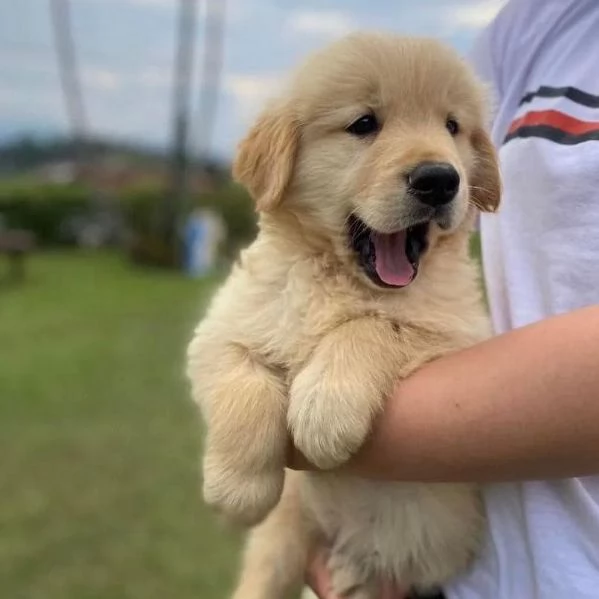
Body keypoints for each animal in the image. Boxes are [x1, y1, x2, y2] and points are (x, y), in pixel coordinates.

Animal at [189, 31, 502, 599]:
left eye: (452, 126)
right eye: (363, 124)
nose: (440, 179)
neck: (339, 277)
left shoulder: (462, 337)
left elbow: (374, 324)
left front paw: (323, 409)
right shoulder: (221, 328)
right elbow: (243, 379)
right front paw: (237, 488)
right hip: (287, 532)